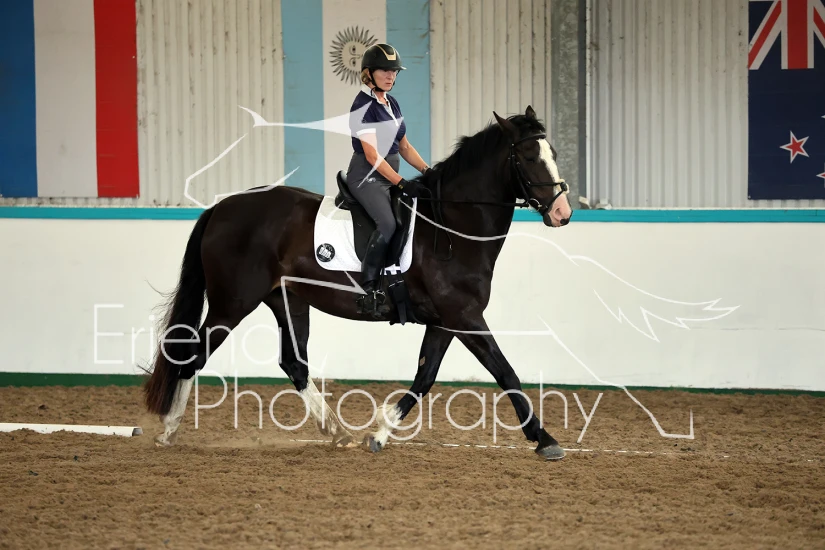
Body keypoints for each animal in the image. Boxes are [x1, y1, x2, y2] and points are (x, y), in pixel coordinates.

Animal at [143, 105, 574, 460]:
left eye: (552, 152)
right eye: (531, 157)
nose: (562, 213)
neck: (449, 226)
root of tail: (221, 207)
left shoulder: (445, 321)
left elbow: (424, 377)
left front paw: (380, 433)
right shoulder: (464, 317)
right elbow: (506, 373)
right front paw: (545, 440)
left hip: (287, 300)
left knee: (294, 363)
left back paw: (336, 432)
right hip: (232, 303)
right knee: (194, 354)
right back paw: (168, 430)